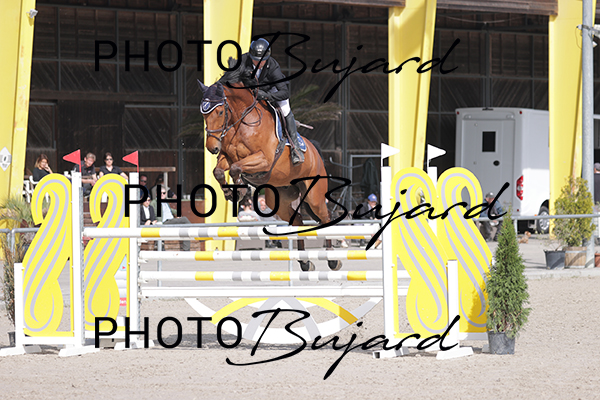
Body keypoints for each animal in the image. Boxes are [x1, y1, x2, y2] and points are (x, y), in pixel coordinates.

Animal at [197, 74, 342, 272]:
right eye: (204, 114)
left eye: (220, 112)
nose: (212, 148)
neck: (242, 123)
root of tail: (316, 153)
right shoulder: (227, 157)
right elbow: (219, 171)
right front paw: (231, 192)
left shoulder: (263, 159)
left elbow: (236, 168)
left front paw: (240, 189)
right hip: (279, 200)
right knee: (298, 220)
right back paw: (305, 262)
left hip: (314, 196)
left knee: (325, 218)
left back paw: (332, 260)